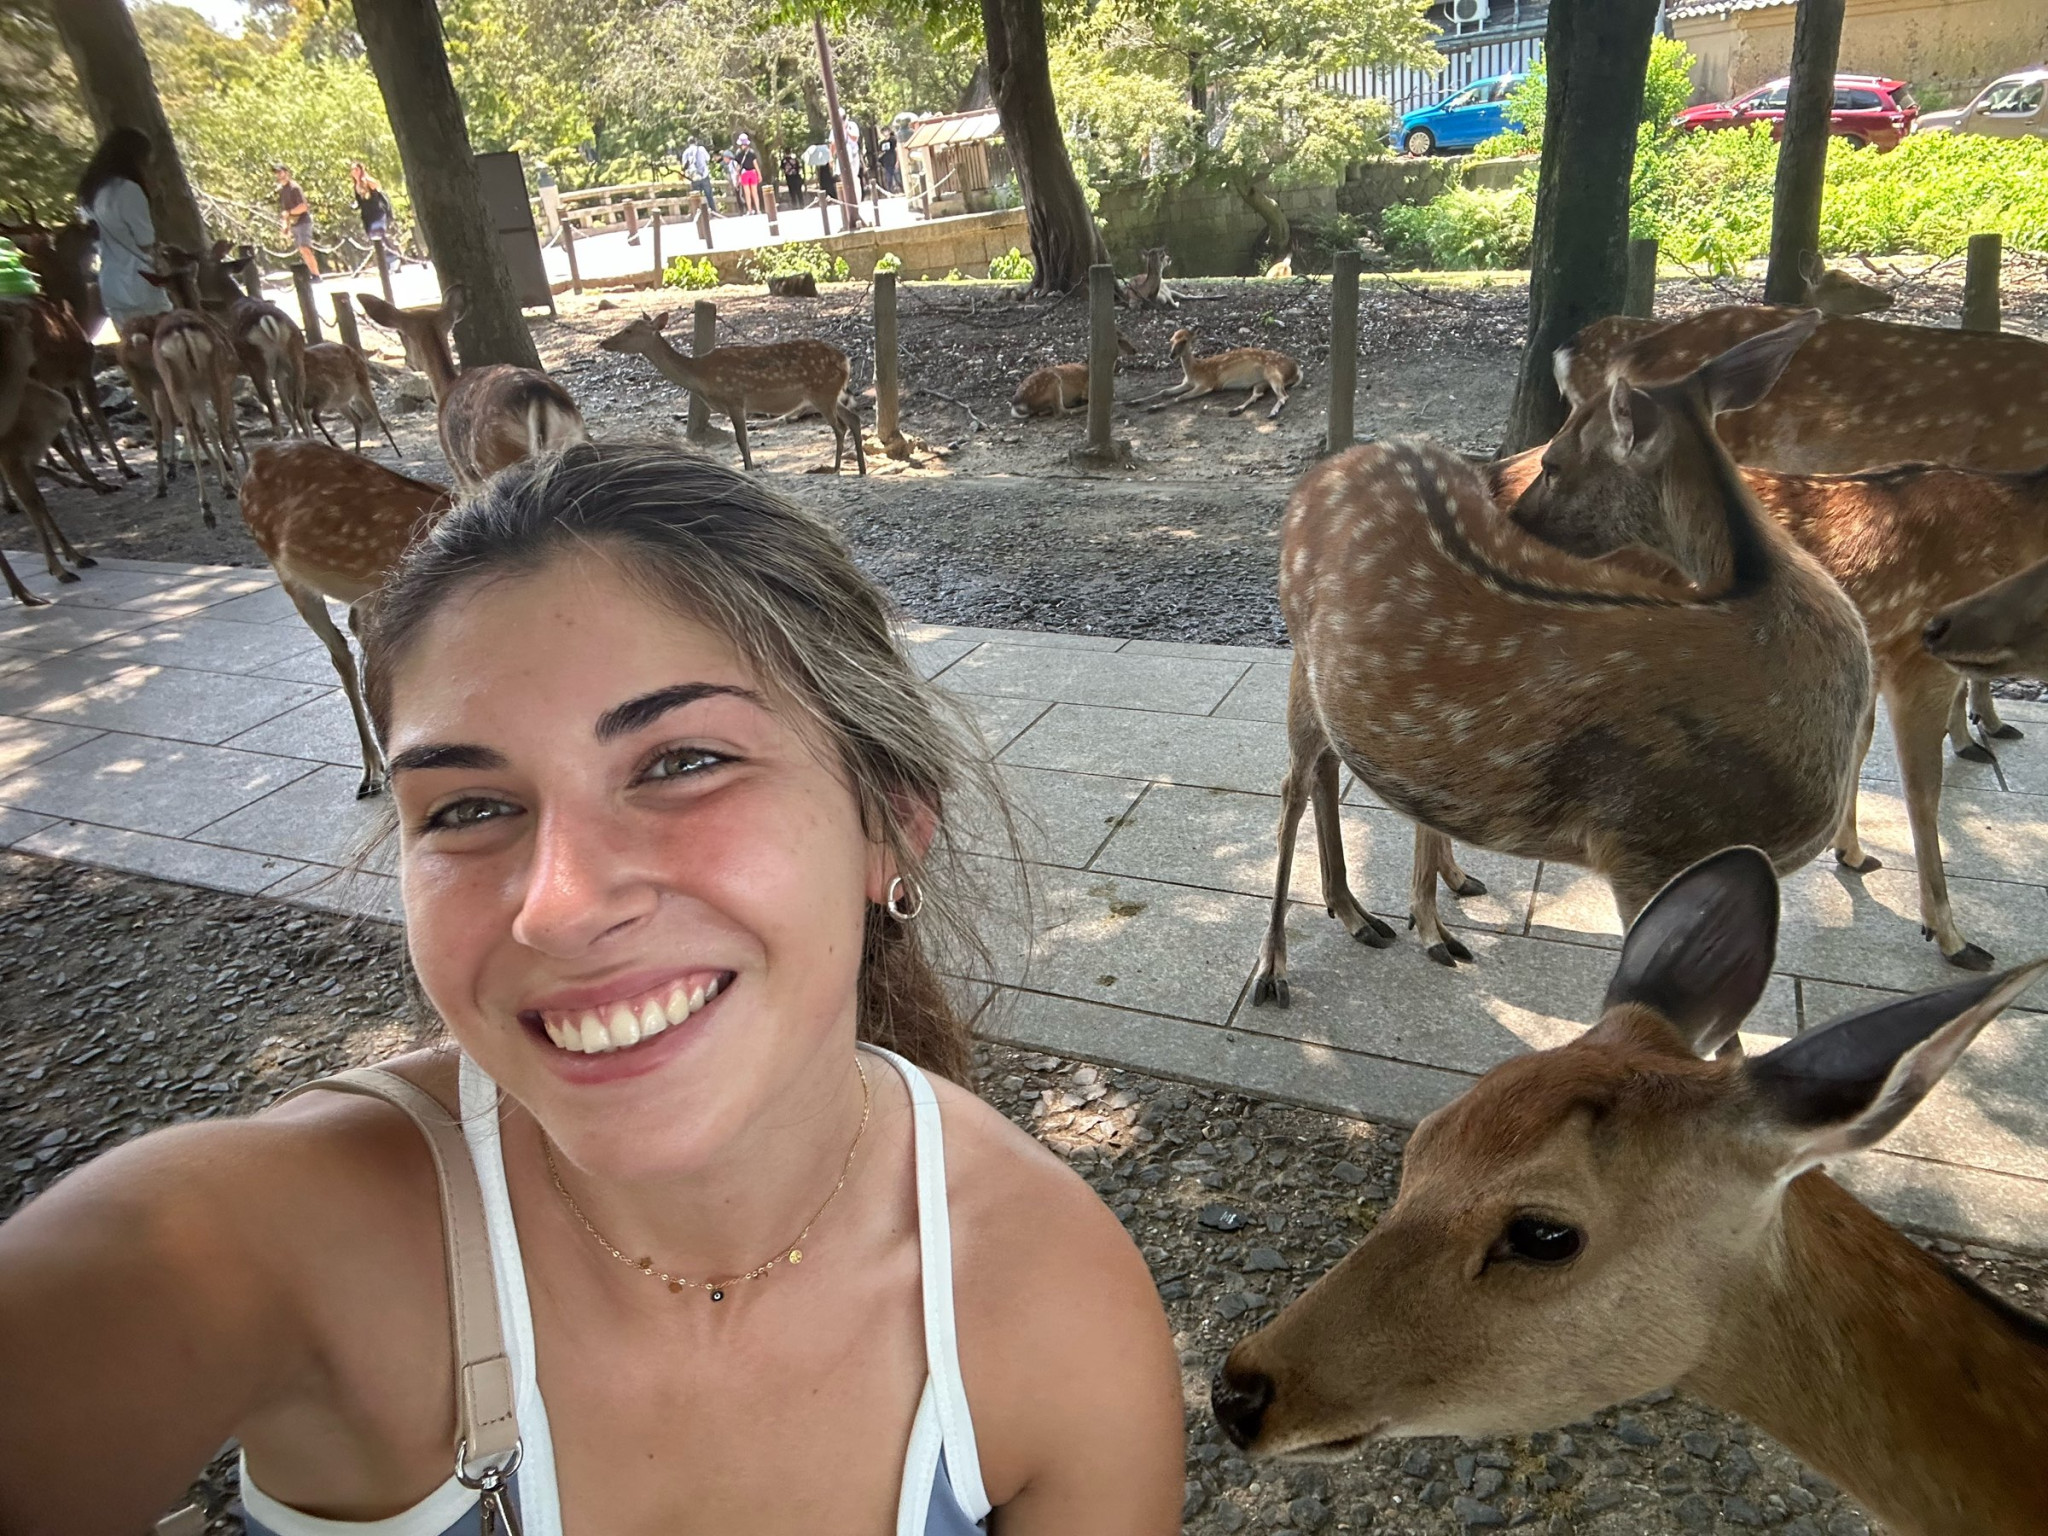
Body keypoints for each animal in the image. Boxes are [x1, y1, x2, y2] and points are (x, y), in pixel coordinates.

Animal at [0, 305, 98, 602]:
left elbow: (38, 502)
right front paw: (57, 572)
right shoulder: (11, 457)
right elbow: (34, 503)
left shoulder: (18, 458)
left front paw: (74, 558)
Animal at [357, 288, 586, 490]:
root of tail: (539, 397)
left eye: (401, 334)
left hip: (497, 460)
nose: (408, 361)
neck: (445, 388)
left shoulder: (460, 472)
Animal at [596, 311, 865, 476]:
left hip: (823, 392)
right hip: (829, 395)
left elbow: (742, 440)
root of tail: (846, 360)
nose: (603, 342)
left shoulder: (735, 398)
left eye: (630, 330)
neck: (701, 377)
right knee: (854, 419)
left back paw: (837, 469)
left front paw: (749, 470)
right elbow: (743, 439)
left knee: (840, 427)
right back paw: (861, 469)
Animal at [1135, 328, 1301, 420]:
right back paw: (1235, 410)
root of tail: (1297, 369)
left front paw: (1154, 407)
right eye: (1171, 340)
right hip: (1261, 382)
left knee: (1283, 396)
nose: (1171, 355)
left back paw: (1272, 413)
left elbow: (1180, 397)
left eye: (1184, 340)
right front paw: (1134, 401)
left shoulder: (1207, 383)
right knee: (1257, 395)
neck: (1195, 371)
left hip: (1274, 373)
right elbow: (1164, 391)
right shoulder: (1186, 382)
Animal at [1251, 311, 1870, 1000]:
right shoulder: (1649, 843)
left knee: (1336, 769)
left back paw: (1366, 912)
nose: (1514, 520)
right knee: (1293, 783)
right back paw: (1276, 966)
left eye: (1553, 461)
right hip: (1299, 645)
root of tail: (1329, 466)